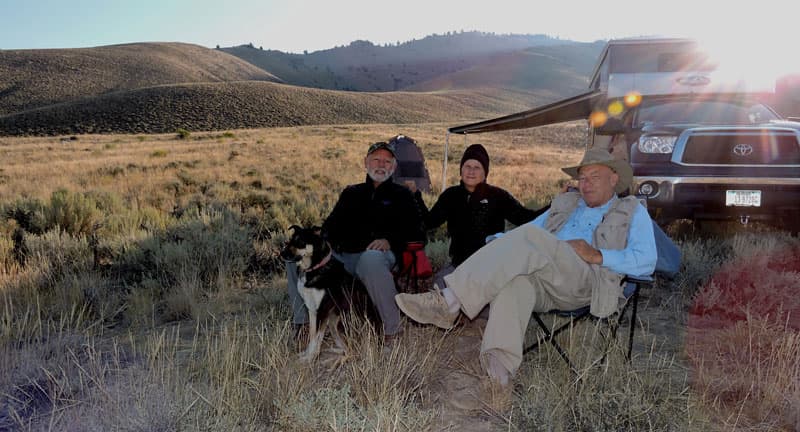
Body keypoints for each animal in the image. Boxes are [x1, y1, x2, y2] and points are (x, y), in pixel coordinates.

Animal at [282, 226, 378, 362]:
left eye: (300, 241)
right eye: (290, 240)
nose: (281, 254)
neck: (315, 268)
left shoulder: (323, 309)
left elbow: (317, 337)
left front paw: (310, 358)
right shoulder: (312, 309)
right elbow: (313, 335)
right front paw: (307, 354)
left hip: (343, 318)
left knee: (351, 350)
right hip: (333, 323)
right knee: (345, 348)